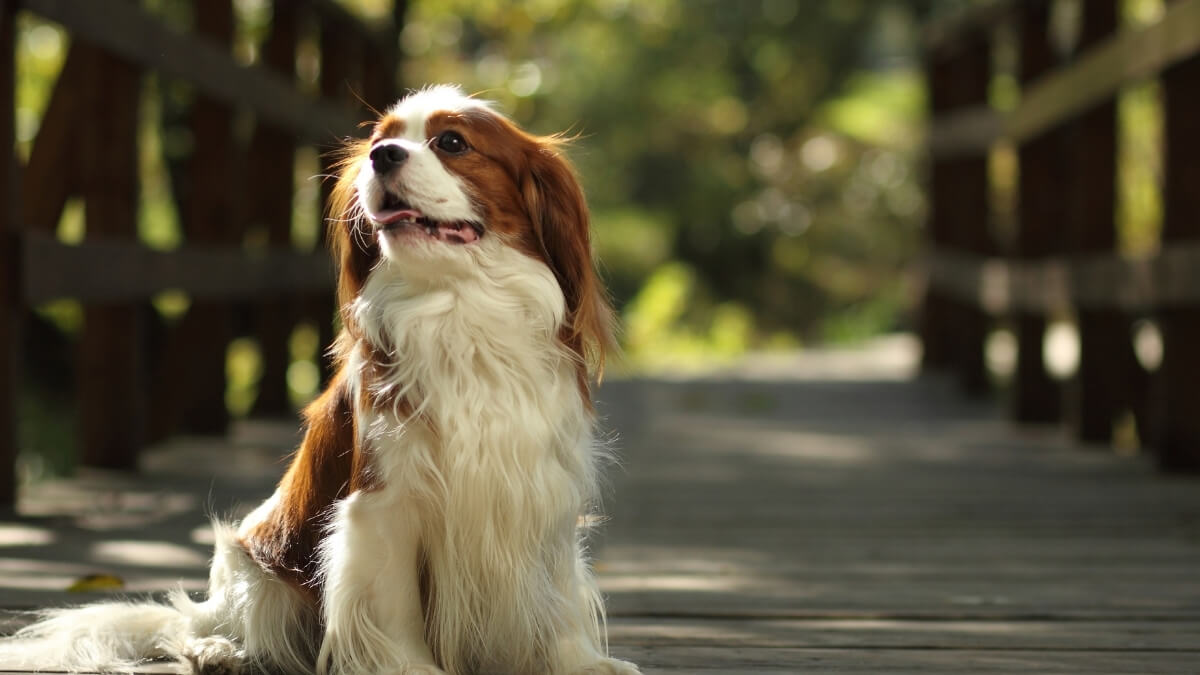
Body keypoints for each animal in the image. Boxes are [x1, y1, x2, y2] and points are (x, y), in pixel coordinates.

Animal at [2, 86, 638, 672]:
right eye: (381, 138)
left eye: (452, 143)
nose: (382, 156)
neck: (460, 305)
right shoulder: (383, 507)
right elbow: (394, 612)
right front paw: (412, 670)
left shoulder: (542, 500)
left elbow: (557, 604)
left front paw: (580, 664)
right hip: (254, 569)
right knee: (198, 623)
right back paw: (217, 648)